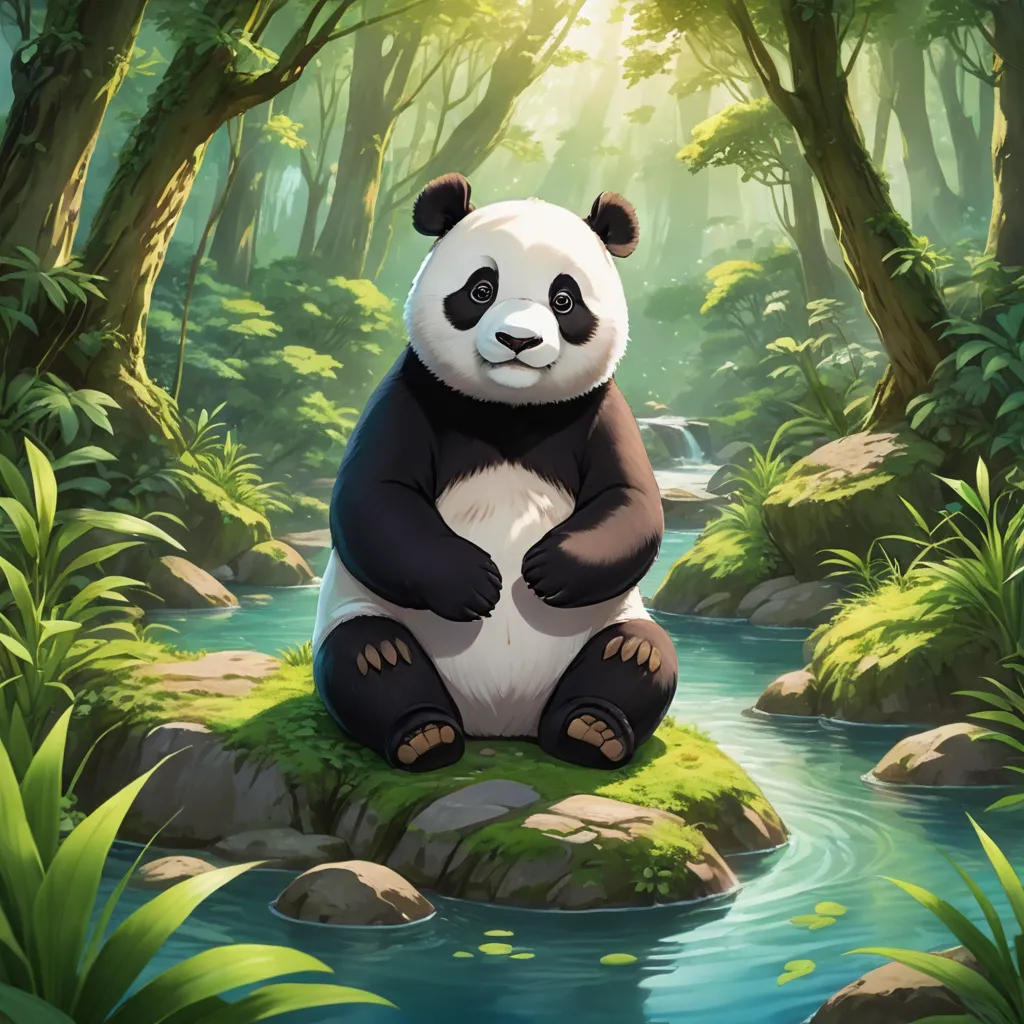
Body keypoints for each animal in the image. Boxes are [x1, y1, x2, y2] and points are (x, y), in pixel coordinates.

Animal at [312, 173, 677, 773]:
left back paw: (591, 728)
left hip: (611, 623)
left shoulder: (600, 408)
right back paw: (423, 733)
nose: (518, 341)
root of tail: (501, 719)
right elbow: (371, 499)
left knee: (638, 654)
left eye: (563, 299)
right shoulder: (411, 390)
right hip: (361, 615)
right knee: (366, 656)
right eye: (482, 289)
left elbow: (630, 500)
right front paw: (476, 580)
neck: (510, 410)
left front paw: (545, 569)